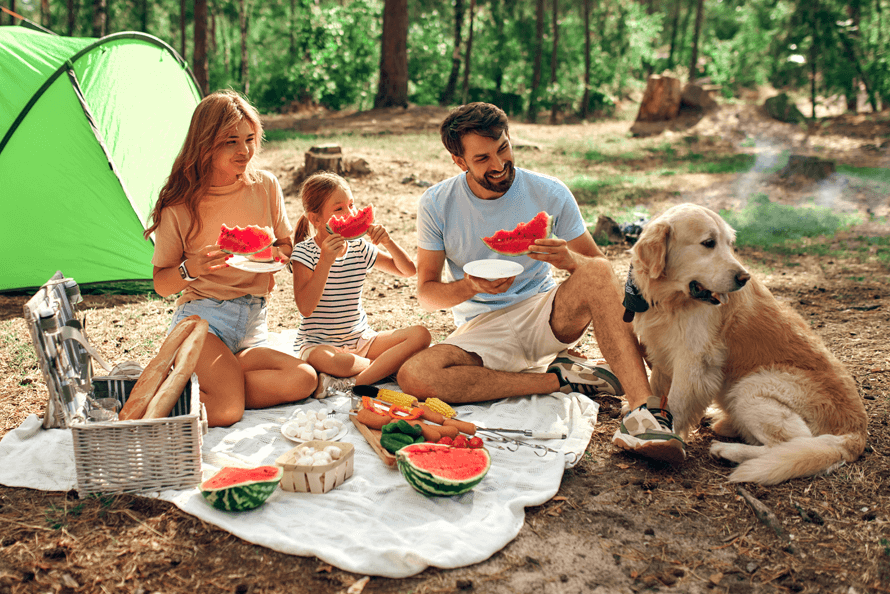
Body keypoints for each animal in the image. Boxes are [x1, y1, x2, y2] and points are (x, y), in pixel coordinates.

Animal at [628, 202, 864, 480]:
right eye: (709, 243)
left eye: (729, 243)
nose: (744, 278)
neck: (671, 301)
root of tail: (856, 434)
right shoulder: (662, 353)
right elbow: (656, 390)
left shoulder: (694, 362)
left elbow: (675, 404)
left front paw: (666, 435)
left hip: (753, 387)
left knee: (791, 444)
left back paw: (727, 451)